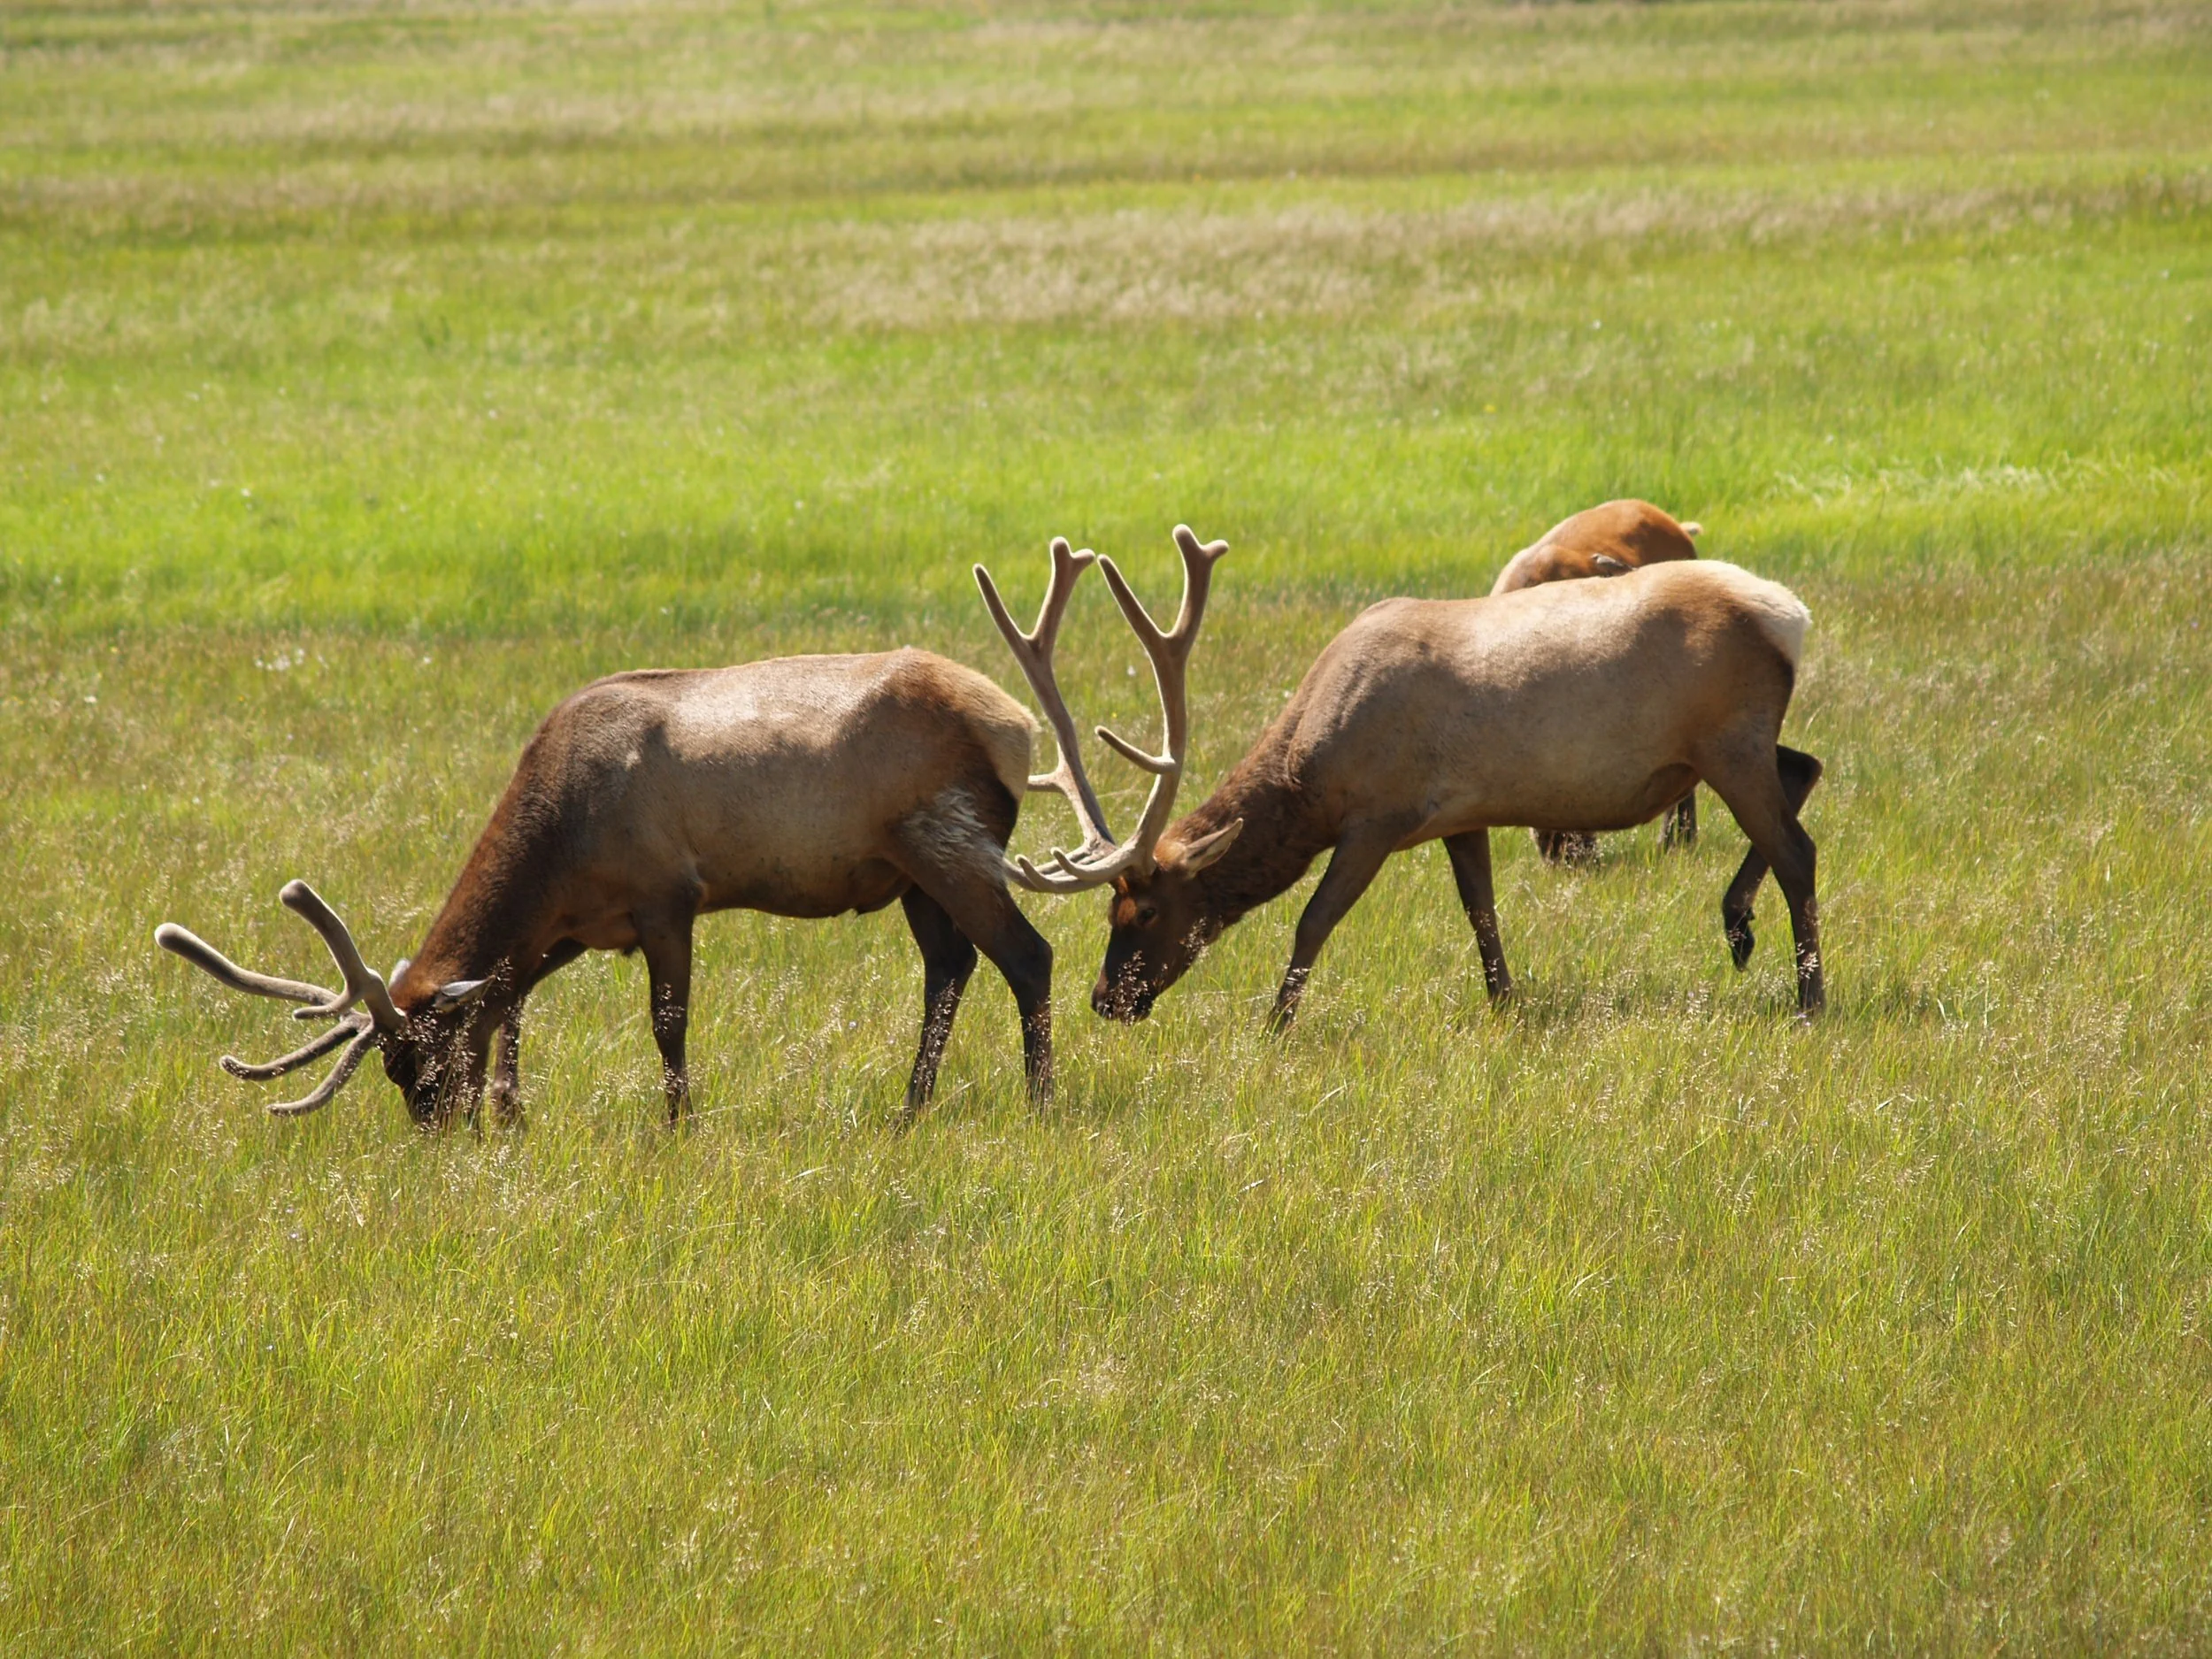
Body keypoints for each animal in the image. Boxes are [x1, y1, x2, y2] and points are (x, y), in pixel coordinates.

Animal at [155, 646, 1066, 1129]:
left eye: (424, 1062)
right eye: (396, 1071)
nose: (437, 1127)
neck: (561, 840)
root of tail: (1017, 726)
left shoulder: (666, 894)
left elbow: (668, 1023)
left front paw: (679, 1124)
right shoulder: (581, 925)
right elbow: (512, 998)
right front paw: (514, 1115)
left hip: (949, 842)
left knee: (1028, 954)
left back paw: (1040, 1102)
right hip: (913, 872)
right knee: (950, 967)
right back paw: (911, 1107)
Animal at [999, 555, 1826, 1030]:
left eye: (1140, 912)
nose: (1105, 999)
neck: (1310, 773)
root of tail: (1791, 616)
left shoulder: (1377, 815)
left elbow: (1313, 919)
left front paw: (1275, 1024)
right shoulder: (1464, 815)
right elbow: (1480, 910)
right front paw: (1505, 1002)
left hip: (1727, 739)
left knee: (1798, 846)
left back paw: (1808, 995)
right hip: (1731, 745)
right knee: (1806, 767)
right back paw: (1738, 923)